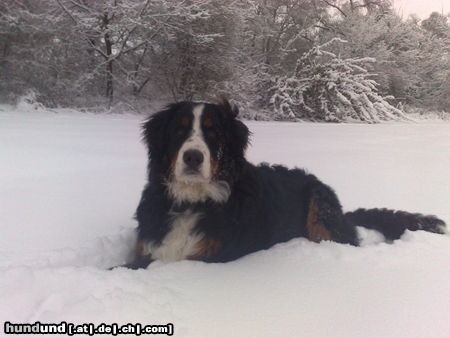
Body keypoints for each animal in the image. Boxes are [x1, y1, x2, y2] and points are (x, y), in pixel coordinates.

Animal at [118, 98, 446, 270]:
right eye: (179, 130)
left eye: (213, 133)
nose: (193, 157)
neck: (192, 201)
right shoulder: (145, 253)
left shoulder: (212, 257)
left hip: (319, 209)